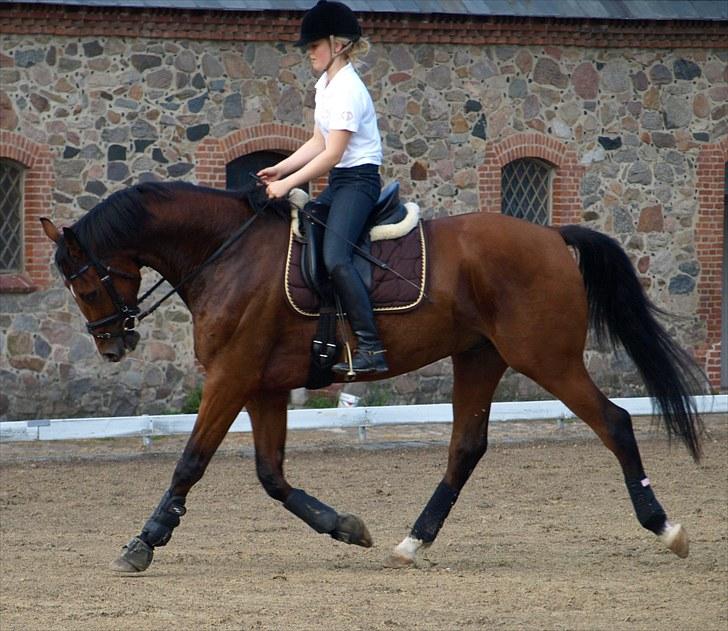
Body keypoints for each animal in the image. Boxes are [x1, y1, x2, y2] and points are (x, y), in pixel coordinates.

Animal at [41, 181, 704, 572]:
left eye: (85, 282)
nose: (114, 345)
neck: (227, 255)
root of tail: (549, 233)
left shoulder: (232, 377)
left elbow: (190, 462)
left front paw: (144, 541)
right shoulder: (263, 385)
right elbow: (271, 477)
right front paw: (345, 528)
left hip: (547, 358)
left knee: (615, 423)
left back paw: (666, 528)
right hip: (480, 358)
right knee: (466, 447)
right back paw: (413, 542)